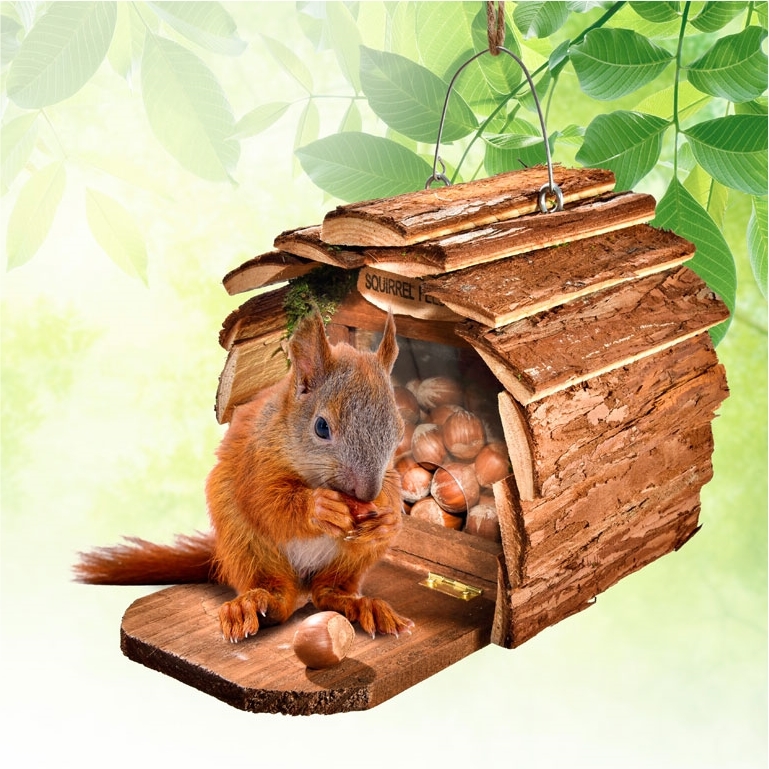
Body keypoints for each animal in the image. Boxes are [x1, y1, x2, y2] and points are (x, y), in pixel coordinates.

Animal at [75, 309, 413, 642]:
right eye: (321, 427)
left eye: (399, 431)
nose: (367, 493)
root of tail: (302, 584)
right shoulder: (256, 459)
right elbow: (266, 501)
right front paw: (321, 507)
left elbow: (393, 496)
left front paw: (388, 519)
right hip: (245, 542)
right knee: (278, 592)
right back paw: (256, 604)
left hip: (349, 561)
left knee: (327, 591)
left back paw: (360, 604)